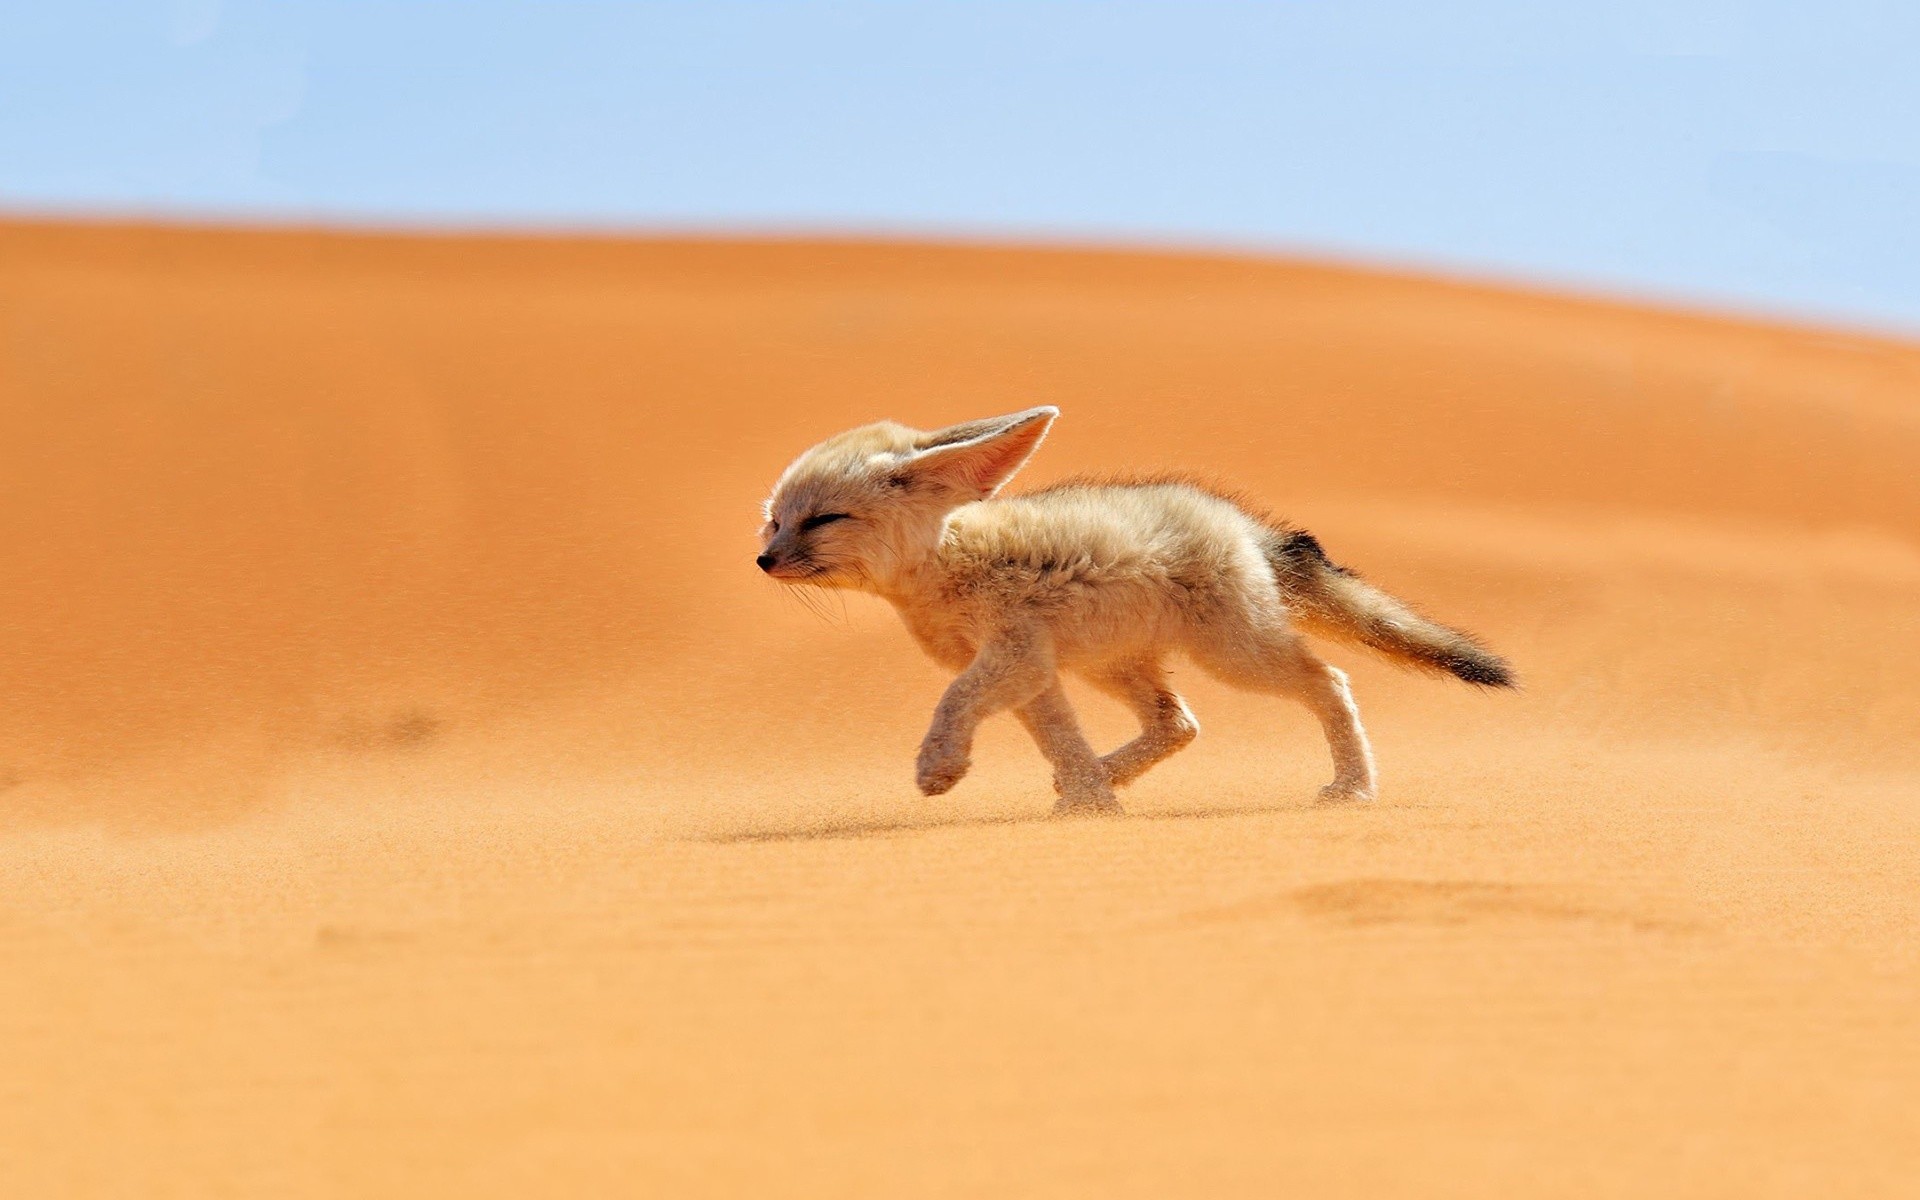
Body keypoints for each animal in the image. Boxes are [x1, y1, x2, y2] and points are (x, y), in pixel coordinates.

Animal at [756, 406, 1512, 814]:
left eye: (823, 520)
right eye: (774, 521)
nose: (763, 561)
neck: (946, 563)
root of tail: (1241, 522)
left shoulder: (1012, 656)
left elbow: (953, 701)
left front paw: (939, 767)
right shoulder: (1033, 671)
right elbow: (1059, 737)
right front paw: (1092, 802)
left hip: (1235, 656)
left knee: (1329, 681)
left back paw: (1354, 787)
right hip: (1113, 666)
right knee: (1179, 723)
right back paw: (1101, 777)